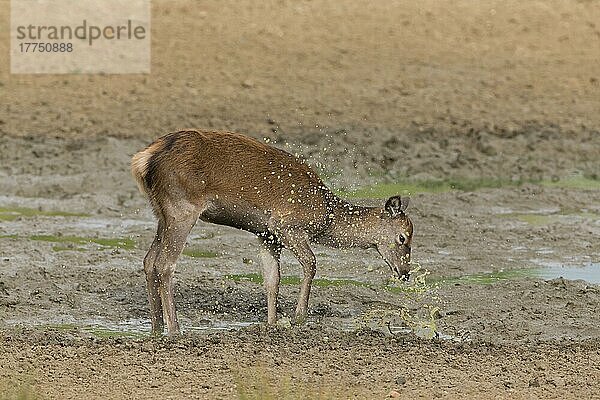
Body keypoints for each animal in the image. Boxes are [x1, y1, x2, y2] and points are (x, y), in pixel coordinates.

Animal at [131, 130, 412, 334]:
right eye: (403, 237)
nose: (405, 273)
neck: (327, 215)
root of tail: (144, 160)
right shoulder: (286, 226)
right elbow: (311, 263)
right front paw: (299, 317)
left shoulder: (267, 235)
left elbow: (272, 279)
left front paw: (272, 323)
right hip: (182, 209)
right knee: (165, 264)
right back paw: (175, 329)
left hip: (161, 213)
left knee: (149, 260)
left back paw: (156, 328)